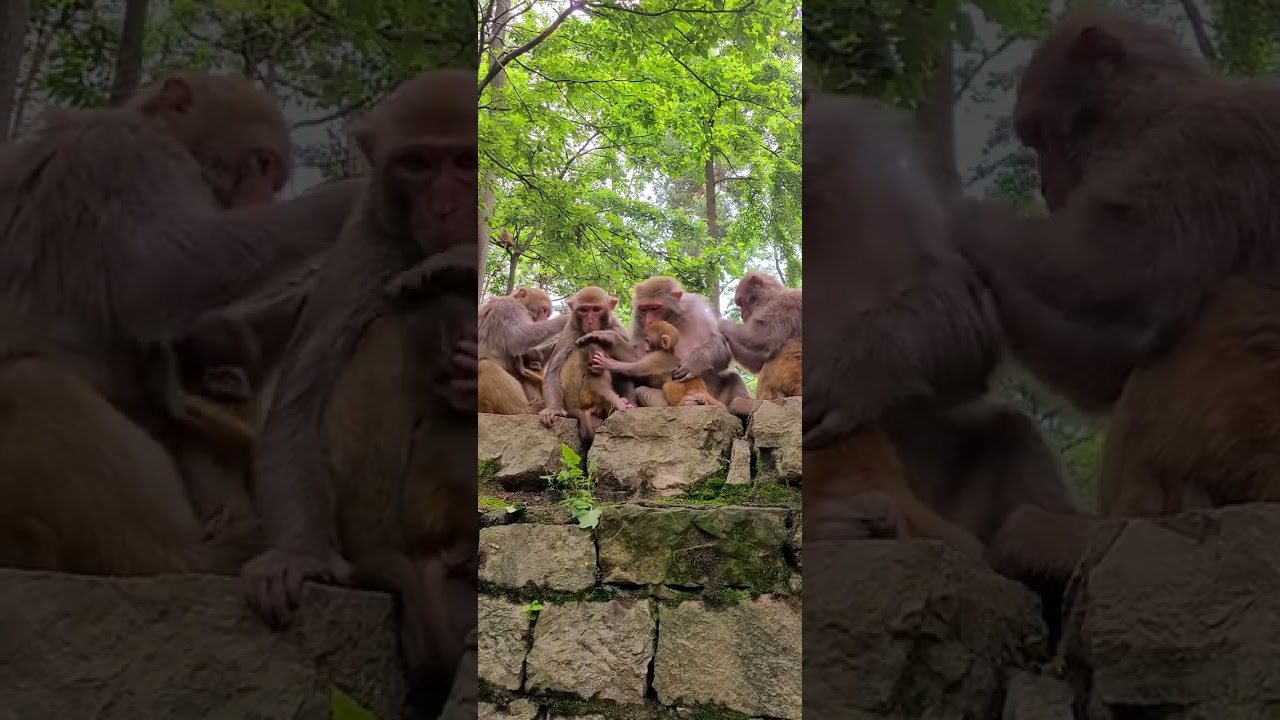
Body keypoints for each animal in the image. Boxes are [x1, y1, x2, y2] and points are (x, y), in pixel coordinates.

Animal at [241, 70, 478, 718]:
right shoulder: (368, 234)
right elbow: (298, 400)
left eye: (465, 163)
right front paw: (298, 555)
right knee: (398, 327)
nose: (444, 209)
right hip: (376, 511)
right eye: (417, 164)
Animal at [538, 286, 639, 429]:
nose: (590, 321)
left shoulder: (616, 327)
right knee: (578, 352)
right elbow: (553, 371)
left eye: (596, 309)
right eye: (584, 310)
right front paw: (553, 409)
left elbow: (635, 363)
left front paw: (606, 336)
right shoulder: (570, 330)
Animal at [592, 320, 725, 410]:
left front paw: (607, 363)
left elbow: (635, 369)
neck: (668, 351)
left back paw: (684, 403)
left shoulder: (658, 357)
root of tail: (702, 388)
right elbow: (634, 360)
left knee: (668, 385)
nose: (645, 347)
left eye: (648, 341)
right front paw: (611, 338)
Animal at [629, 276, 751, 411]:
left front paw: (695, 362)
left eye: (654, 308)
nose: (649, 321)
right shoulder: (638, 326)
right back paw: (686, 402)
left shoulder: (695, 308)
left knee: (733, 377)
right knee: (643, 390)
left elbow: (720, 344)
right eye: (643, 309)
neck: (672, 319)